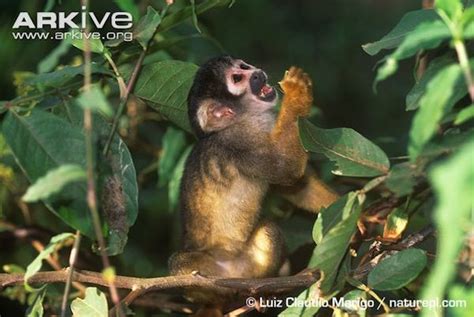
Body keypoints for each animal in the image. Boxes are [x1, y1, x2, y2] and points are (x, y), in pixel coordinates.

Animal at [168, 55, 338, 302]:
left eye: (243, 66)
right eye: (238, 78)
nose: (257, 73)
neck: (245, 118)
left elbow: (294, 186)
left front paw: (354, 211)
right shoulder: (239, 140)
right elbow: (285, 167)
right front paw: (297, 93)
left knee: (268, 228)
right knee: (178, 263)